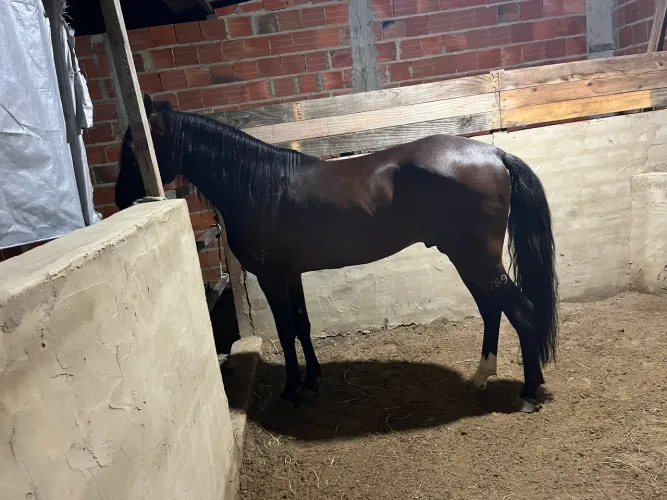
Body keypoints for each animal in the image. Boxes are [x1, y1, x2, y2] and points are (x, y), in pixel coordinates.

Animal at [115, 94, 558, 413]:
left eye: (136, 146)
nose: (121, 198)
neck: (259, 185)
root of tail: (494, 155)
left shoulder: (272, 277)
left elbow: (286, 329)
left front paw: (291, 390)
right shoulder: (291, 274)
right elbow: (302, 324)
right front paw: (312, 382)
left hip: (476, 259)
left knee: (520, 310)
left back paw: (527, 393)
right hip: (468, 260)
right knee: (492, 310)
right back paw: (482, 377)